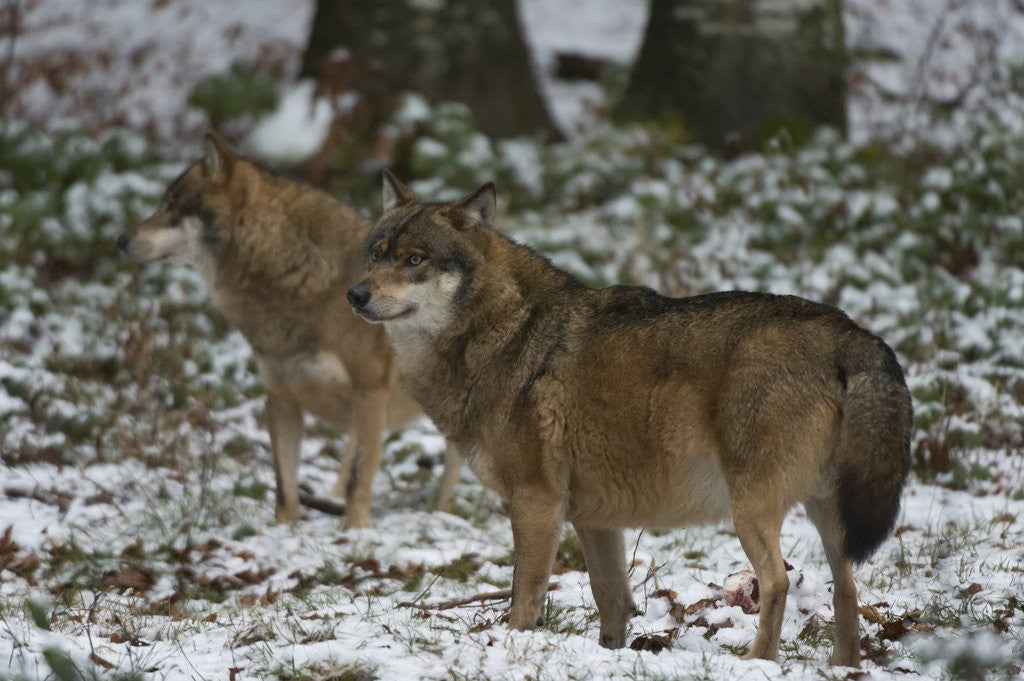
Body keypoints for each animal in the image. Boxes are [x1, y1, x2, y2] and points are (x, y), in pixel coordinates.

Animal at [117, 132, 460, 529]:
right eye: (161, 204)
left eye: (173, 206)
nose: (121, 240)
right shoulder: (280, 396)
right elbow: (285, 481)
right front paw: (285, 527)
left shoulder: (370, 390)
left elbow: (360, 476)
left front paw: (354, 531)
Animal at [346, 173, 912, 666]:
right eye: (375, 255)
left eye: (414, 260)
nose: (355, 294)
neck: (502, 330)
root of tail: (847, 330)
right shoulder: (595, 518)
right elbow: (611, 598)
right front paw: (611, 655)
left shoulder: (535, 501)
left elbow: (524, 595)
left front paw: (511, 647)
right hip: (828, 513)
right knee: (847, 587)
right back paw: (844, 666)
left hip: (751, 509)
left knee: (776, 581)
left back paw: (757, 661)